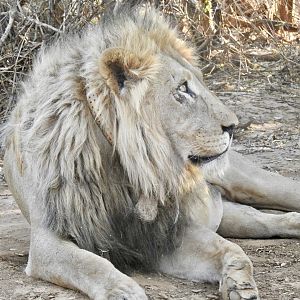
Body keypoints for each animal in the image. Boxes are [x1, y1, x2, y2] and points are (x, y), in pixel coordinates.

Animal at [2, 4, 300, 300]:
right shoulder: (47, 240)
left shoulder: (166, 234)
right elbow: (90, 263)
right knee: (262, 221)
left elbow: (230, 250)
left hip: (247, 181)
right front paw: (123, 292)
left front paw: (240, 283)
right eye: (183, 89)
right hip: (230, 214)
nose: (233, 126)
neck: (128, 167)